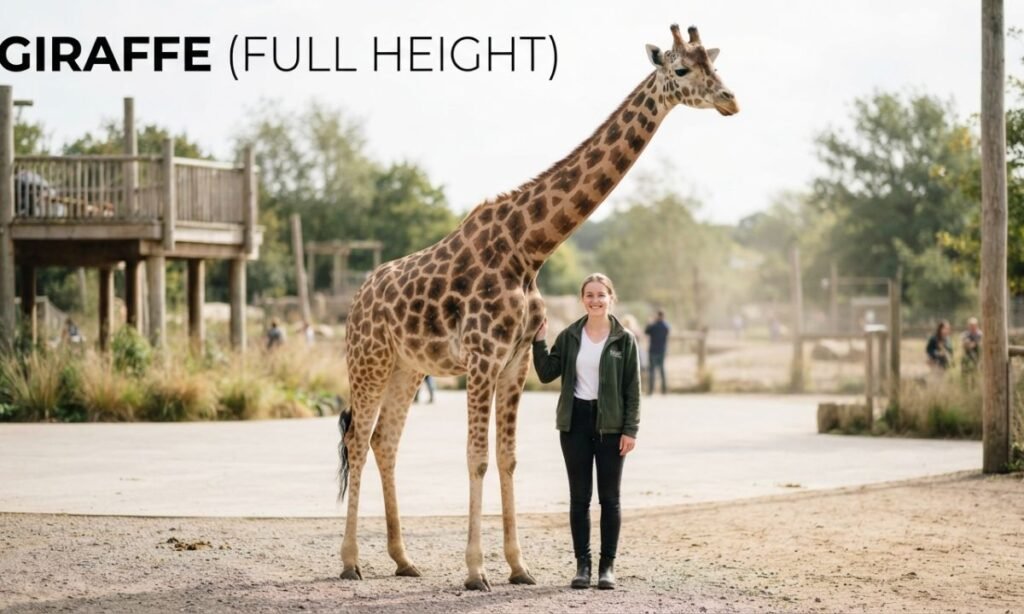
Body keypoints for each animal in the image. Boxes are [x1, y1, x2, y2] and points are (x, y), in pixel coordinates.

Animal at [338, 23, 739, 591]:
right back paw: (350, 562)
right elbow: (478, 458)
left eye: (716, 65)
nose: (730, 100)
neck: (528, 249)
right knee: (356, 440)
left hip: (408, 367)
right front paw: (476, 571)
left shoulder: (514, 362)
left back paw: (402, 559)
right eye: (682, 69)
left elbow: (507, 459)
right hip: (368, 360)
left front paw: (518, 566)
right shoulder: (482, 359)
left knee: (384, 441)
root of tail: (357, 299)